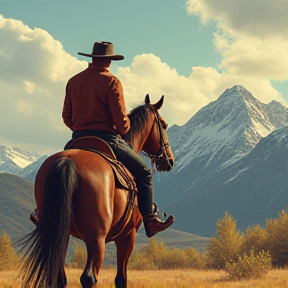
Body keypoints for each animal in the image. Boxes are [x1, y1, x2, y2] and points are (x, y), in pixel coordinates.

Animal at [19, 95, 174, 288]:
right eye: (164, 125)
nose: (169, 160)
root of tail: (67, 161)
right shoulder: (127, 236)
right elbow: (121, 278)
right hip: (96, 237)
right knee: (89, 277)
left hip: (61, 233)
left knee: (58, 276)